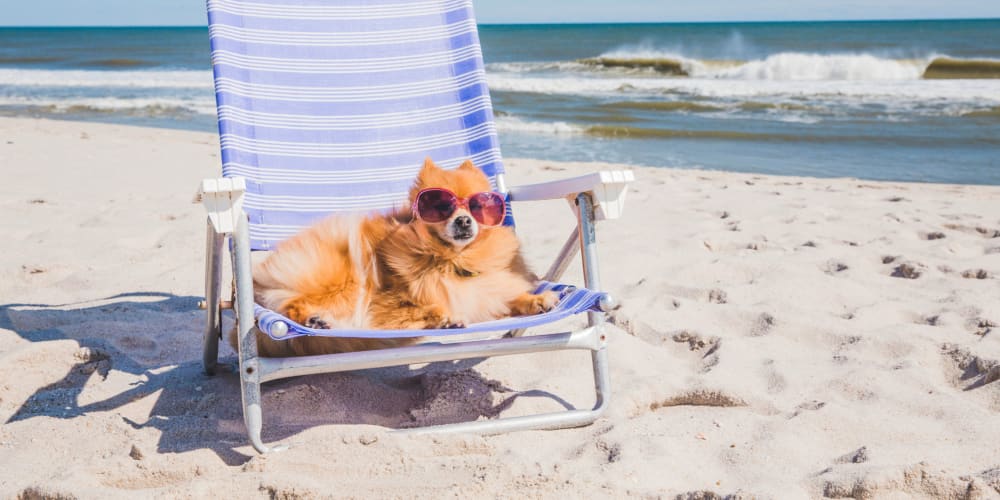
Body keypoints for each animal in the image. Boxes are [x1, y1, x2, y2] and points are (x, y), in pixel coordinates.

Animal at [236, 156, 564, 356]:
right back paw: (312, 320)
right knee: (288, 305)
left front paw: (536, 299)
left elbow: (507, 295)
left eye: (478, 207)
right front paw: (444, 319)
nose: (463, 221)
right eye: (441, 206)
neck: (452, 261)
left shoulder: (488, 290)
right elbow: (423, 308)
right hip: (337, 278)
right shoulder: (387, 305)